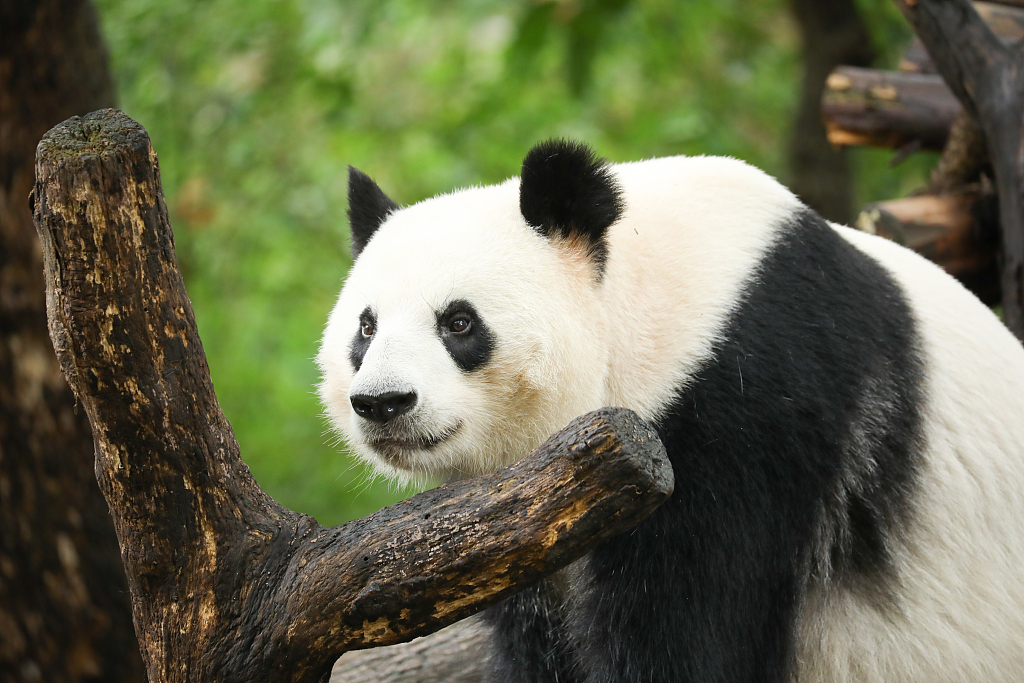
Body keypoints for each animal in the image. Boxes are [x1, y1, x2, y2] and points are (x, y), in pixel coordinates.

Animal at [315, 140, 1024, 683]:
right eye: (366, 328)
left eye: (459, 323)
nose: (384, 402)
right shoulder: (519, 524)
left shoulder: (748, 404)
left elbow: (688, 625)